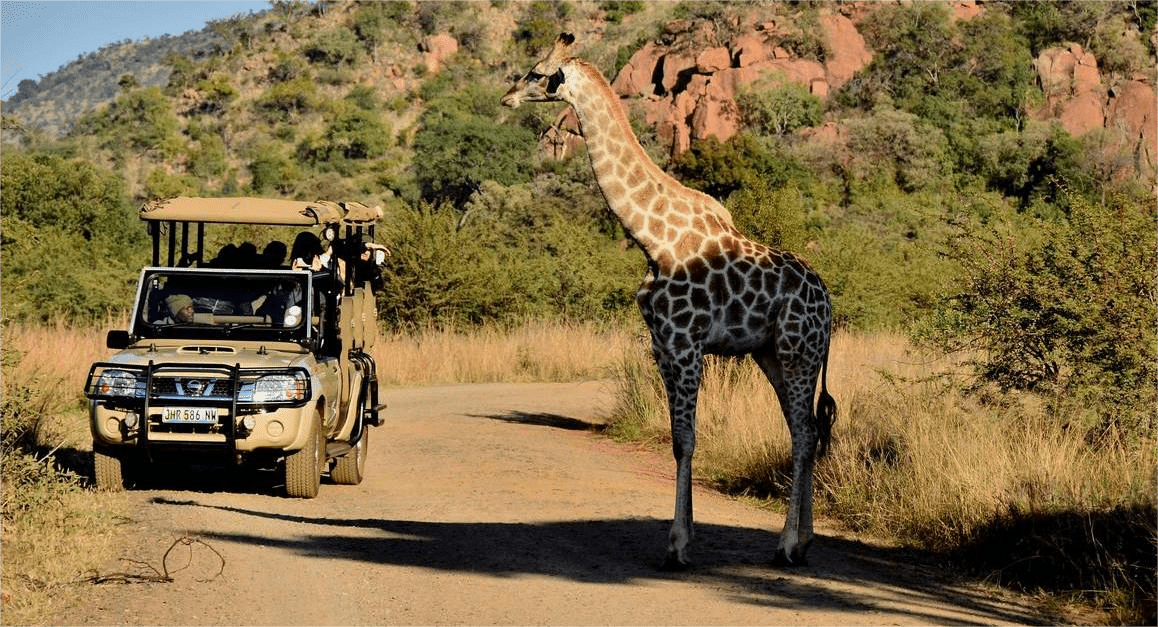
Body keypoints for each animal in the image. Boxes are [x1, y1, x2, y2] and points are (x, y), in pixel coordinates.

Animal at [501, 33, 836, 569]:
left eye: (536, 72)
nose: (507, 97)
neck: (650, 236)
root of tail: (829, 303)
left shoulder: (685, 343)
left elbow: (685, 441)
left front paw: (677, 545)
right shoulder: (662, 344)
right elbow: (680, 438)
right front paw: (686, 535)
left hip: (796, 350)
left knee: (805, 434)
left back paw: (788, 545)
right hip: (772, 354)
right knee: (802, 429)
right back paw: (801, 542)